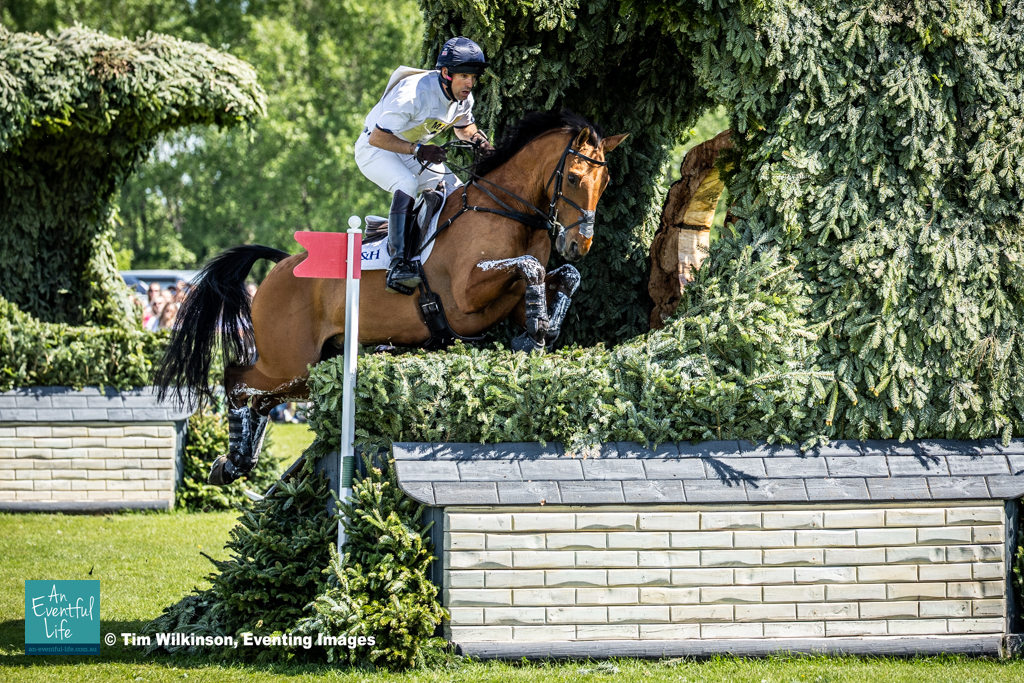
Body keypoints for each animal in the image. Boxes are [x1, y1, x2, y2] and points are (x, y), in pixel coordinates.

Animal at [157, 109, 626, 485]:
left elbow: (562, 277)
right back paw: (231, 462)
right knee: (237, 381)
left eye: (604, 182)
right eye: (573, 178)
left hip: (310, 369)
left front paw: (540, 327)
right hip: (289, 361)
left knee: (260, 400)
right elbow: (530, 266)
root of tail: (282, 265)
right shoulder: (465, 296)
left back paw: (237, 461)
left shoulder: (506, 297)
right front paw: (537, 328)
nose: (578, 244)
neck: (506, 210)